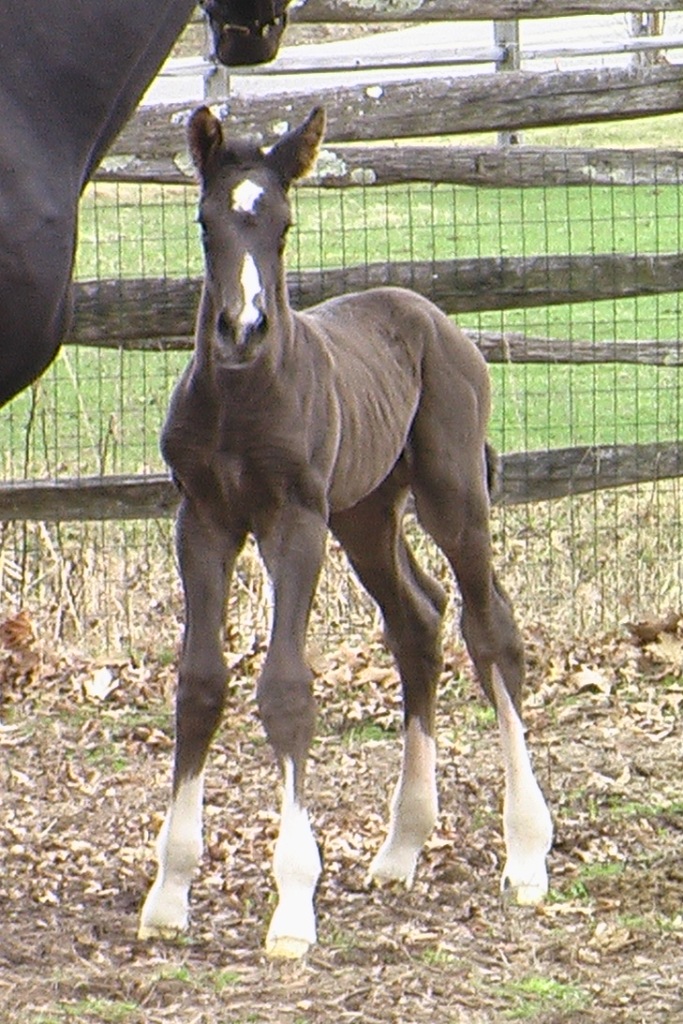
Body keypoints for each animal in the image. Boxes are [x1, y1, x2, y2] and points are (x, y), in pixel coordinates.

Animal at [139, 105, 557, 958]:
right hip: (364, 515)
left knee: (490, 628)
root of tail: (437, 321)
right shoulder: (202, 522)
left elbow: (286, 688)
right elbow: (199, 683)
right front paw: (168, 893)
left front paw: (293, 906)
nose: (242, 329)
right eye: (205, 223)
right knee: (418, 622)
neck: (239, 400)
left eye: (284, 226)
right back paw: (400, 849)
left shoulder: (293, 521)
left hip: (450, 494)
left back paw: (527, 854)